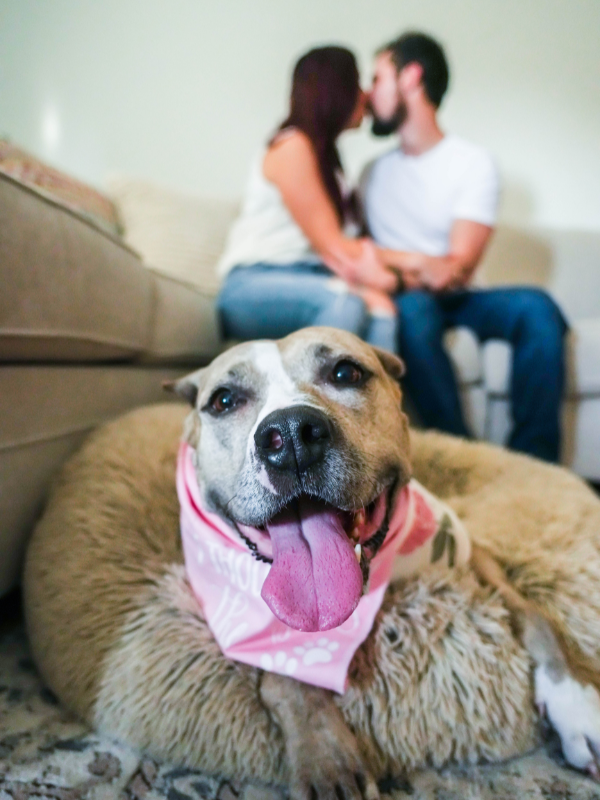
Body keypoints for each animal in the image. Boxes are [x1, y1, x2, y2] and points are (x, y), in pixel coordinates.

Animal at [24, 326, 600, 800]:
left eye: (346, 372)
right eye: (224, 400)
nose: (291, 435)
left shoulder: (476, 557)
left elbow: (538, 619)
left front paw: (577, 705)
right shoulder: (238, 622)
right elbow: (287, 678)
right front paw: (327, 757)